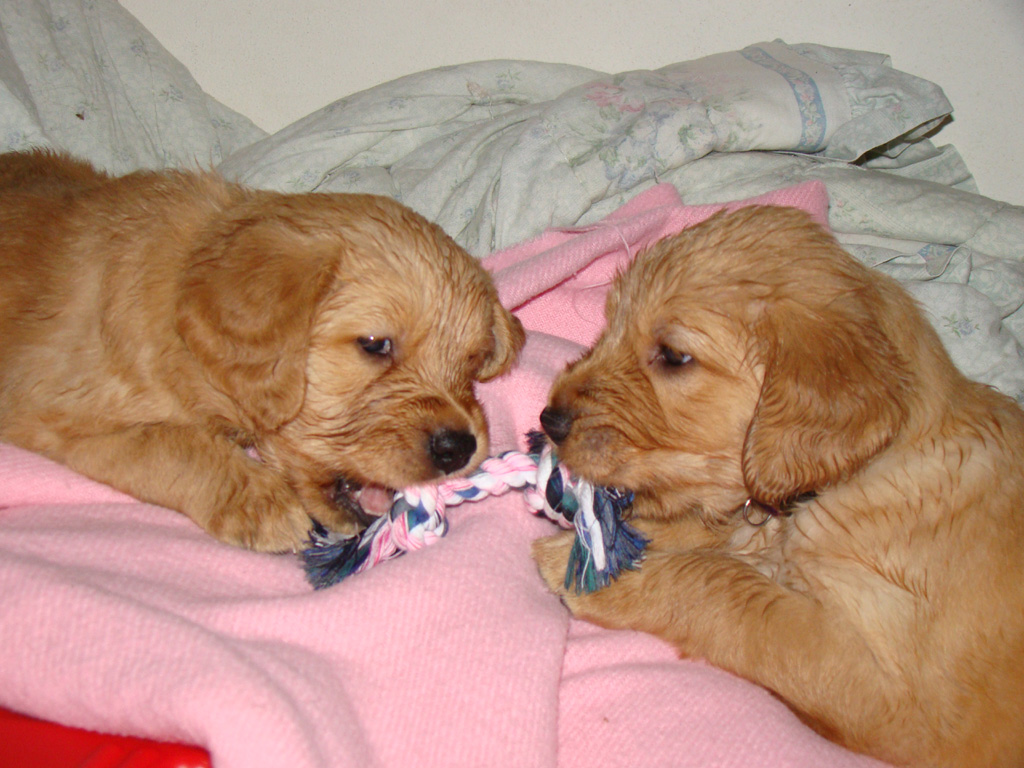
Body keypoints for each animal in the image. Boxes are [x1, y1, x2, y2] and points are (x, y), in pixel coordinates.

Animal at [0, 147, 524, 552]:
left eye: (472, 362)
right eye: (375, 345)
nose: (460, 447)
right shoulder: (50, 411)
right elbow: (166, 442)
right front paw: (260, 502)